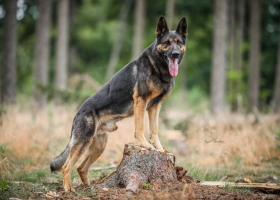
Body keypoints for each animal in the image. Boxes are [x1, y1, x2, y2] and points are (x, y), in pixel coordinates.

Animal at [50, 15, 187, 191]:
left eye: (178, 42)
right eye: (167, 43)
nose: (175, 54)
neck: (157, 66)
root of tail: (78, 113)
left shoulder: (155, 106)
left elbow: (154, 130)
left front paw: (160, 149)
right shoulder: (141, 101)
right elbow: (140, 128)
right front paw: (145, 145)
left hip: (98, 147)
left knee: (81, 167)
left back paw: (90, 188)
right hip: (83, 143)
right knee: (67, 166)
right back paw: (69, 190)